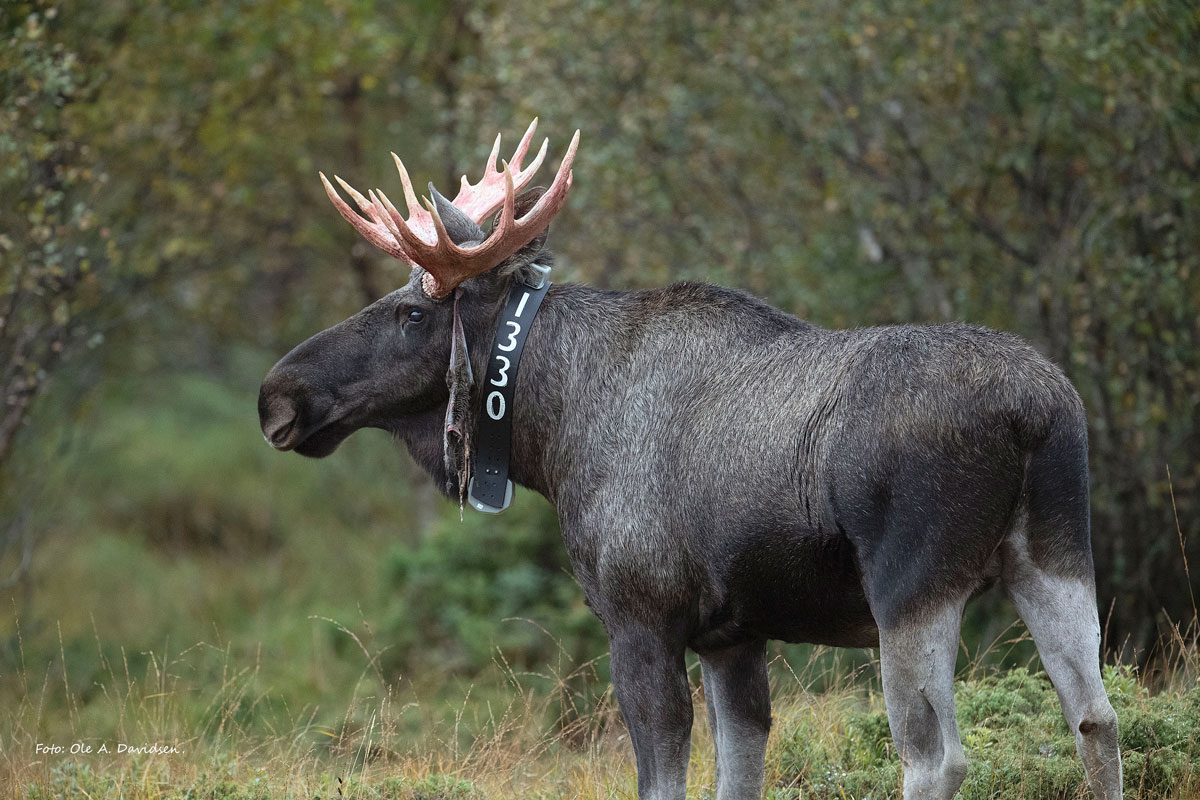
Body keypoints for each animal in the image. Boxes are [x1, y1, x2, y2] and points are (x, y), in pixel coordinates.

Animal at [258, 120, 1118, 800]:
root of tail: (1035, 412)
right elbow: (737, 776)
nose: (277, 395)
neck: (550, 436)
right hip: (1055, 555)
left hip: (911, 586)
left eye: (411, 313)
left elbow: (663, 778)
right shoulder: (731, 635)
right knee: (1096, 719)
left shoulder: (641, 619)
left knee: (934, 757)